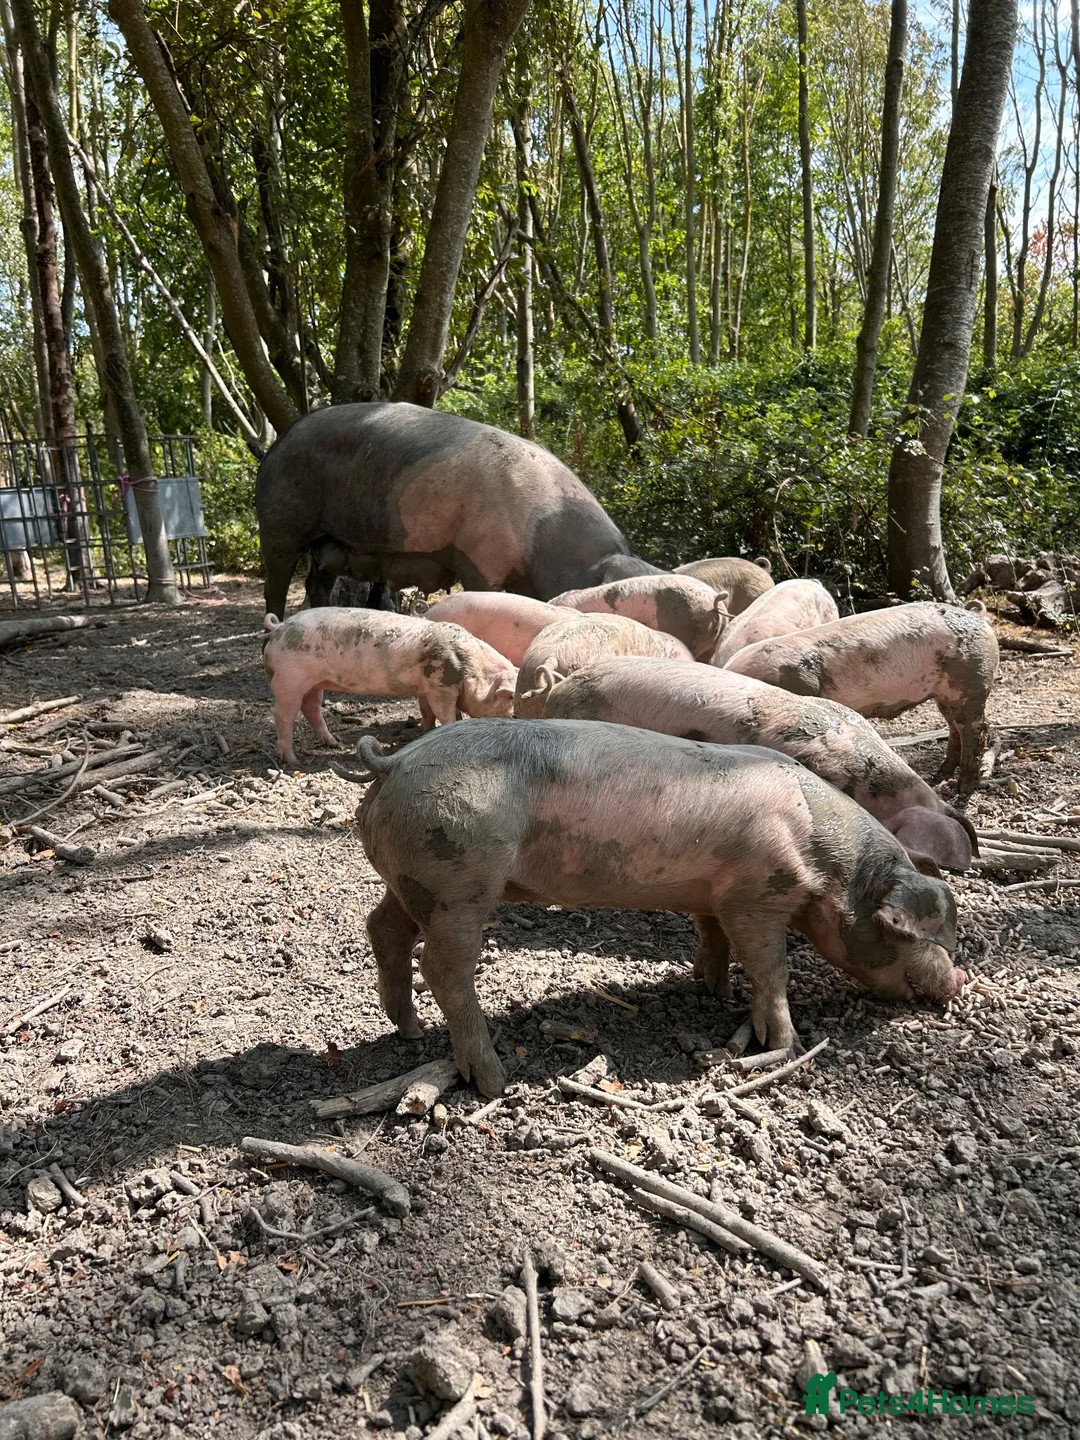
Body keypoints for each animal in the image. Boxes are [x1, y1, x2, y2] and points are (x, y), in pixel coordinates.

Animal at [256, 402, 661, 618]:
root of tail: (277, 443)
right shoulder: (480, 558)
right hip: (279, 523)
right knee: (275, 581)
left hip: (328, 544)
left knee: (316, 582)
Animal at [262, 608, 516, 766]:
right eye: (510, 700)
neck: (472, 669)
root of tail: (279, 628)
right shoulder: (440, 686)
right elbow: (446, 714)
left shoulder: (425, 687)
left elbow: (427, 712)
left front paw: (424, 730)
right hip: (289, 679)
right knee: (283, 715)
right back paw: (293, 760)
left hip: (314, 683)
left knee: (311, 708)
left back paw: (334, 742)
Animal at [358, 720, 964, 1096]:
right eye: (906, 933)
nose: (958, 980)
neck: (827, 868)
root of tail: (397, 760)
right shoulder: (756, 896)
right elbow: (772, 968)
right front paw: (785, 1044)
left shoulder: (713, 895)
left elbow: (711, 938)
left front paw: (712, 990)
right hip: (458, 881)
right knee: (442, 967)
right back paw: (493, 1079)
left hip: (415, 880)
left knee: (383, 928)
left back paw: (409, 1031)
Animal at [723, 602, 999, 790]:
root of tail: (981, 620)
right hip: (944, 695)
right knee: (954, 729)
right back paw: (939, 776)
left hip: (972, 683)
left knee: (977, 730)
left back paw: (962, 786)